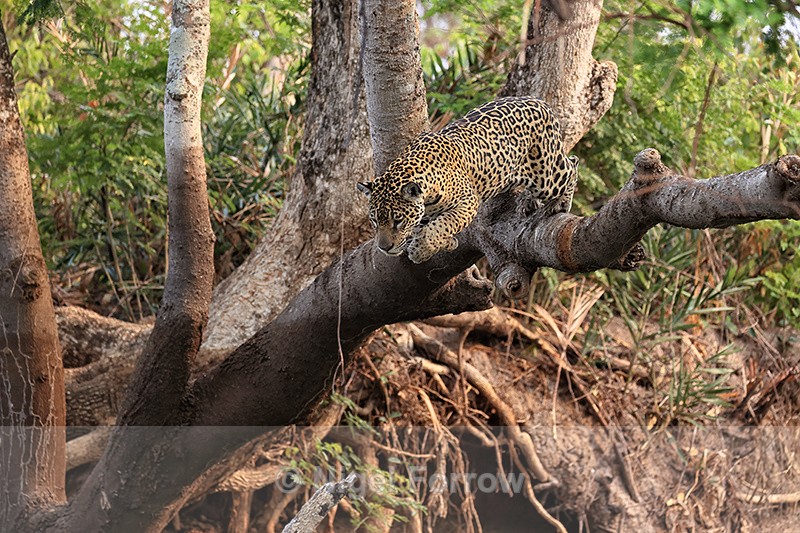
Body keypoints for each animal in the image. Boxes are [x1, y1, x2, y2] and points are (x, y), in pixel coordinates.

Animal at [357, 96, 579, 264]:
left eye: (398, 220)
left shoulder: (468, 201)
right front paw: (445, 243)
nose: (384, 248)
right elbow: (431, 227)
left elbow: (444, 223)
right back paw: (528, 200)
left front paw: (422, 249)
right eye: (374, 220)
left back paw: (560, 202)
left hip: (546, 175)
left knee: (572, 165)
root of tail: (538, 101)